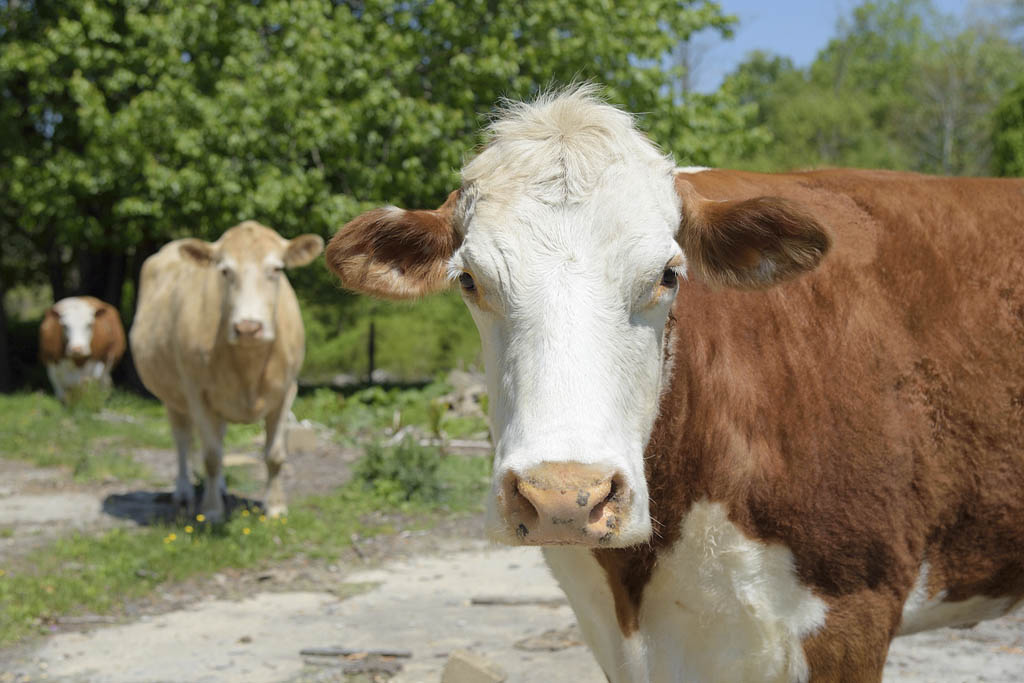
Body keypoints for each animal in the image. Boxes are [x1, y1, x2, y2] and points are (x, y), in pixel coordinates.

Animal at [130, 222, 323, 520]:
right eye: (224, 271)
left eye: (277, 269)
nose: (248, 327)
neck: (249, 367)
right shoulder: (197, 394)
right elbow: (211, 456)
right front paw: (211, 511)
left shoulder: (286, 391)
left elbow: (275, 455)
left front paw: (276, 507)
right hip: (172, 397)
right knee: (183, 440)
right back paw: (184, 492)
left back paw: (219, 488)